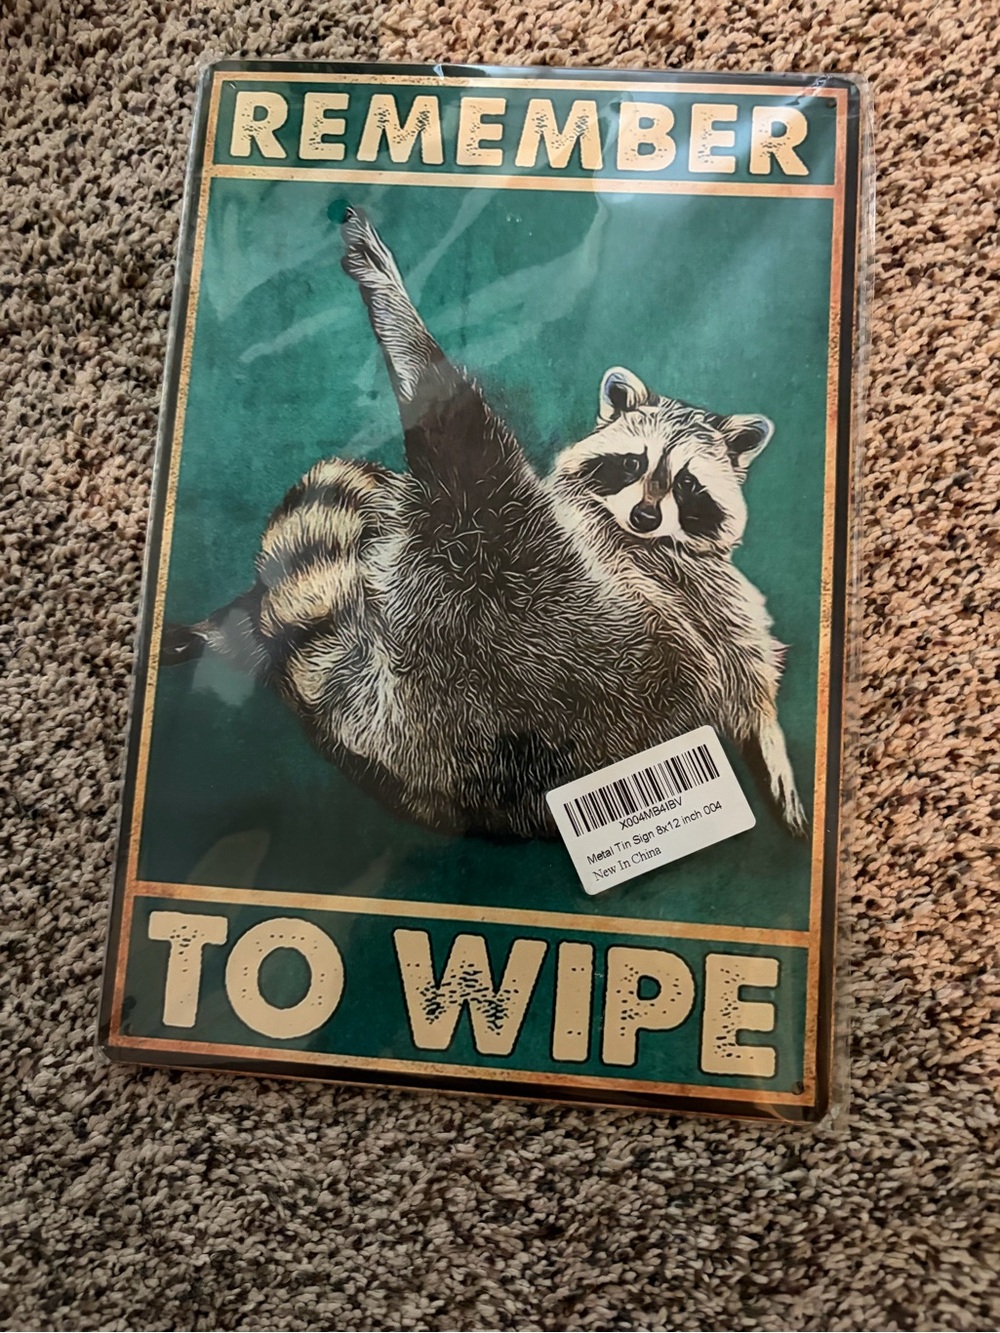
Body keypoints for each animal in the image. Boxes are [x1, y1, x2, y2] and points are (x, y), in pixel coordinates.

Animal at [163, 208, 806, 840]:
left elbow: (749, 668)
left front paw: (772, 746)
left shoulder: (693, 588)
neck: (640, 538)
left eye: (686, 484)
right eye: (632, 463)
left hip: (544, 611)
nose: (645, 516)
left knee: (466, 456)